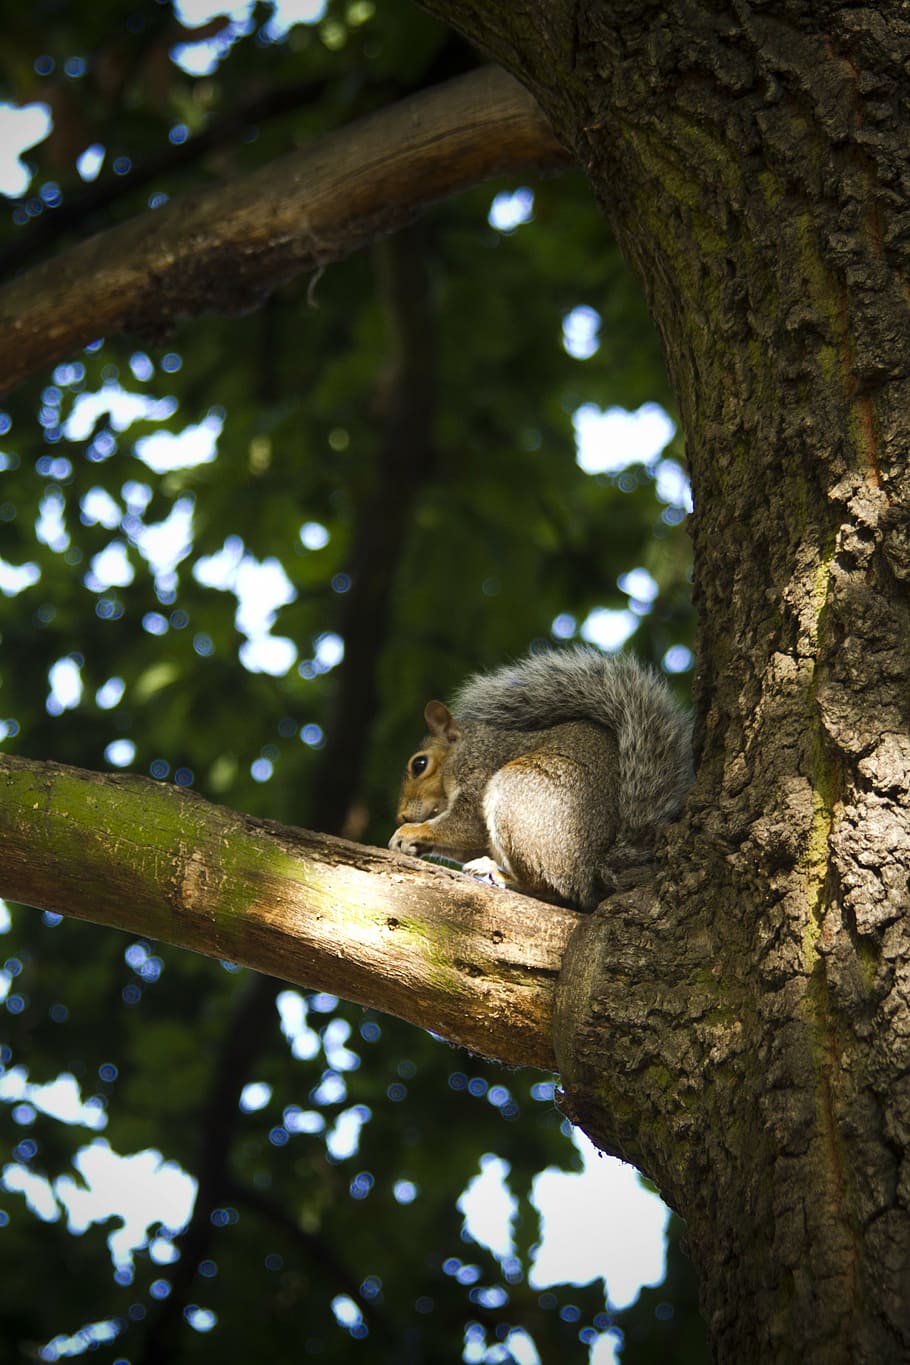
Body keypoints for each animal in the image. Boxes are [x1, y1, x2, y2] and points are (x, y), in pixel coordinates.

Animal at [389, 646, 694, 911]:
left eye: (419, 764)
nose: (401, 816)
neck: (463, 751)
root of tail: (593, 871)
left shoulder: (480, 770)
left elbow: (465, 825)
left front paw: (411, 832)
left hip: (519, 792)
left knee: (551, 889)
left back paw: (497, 873)